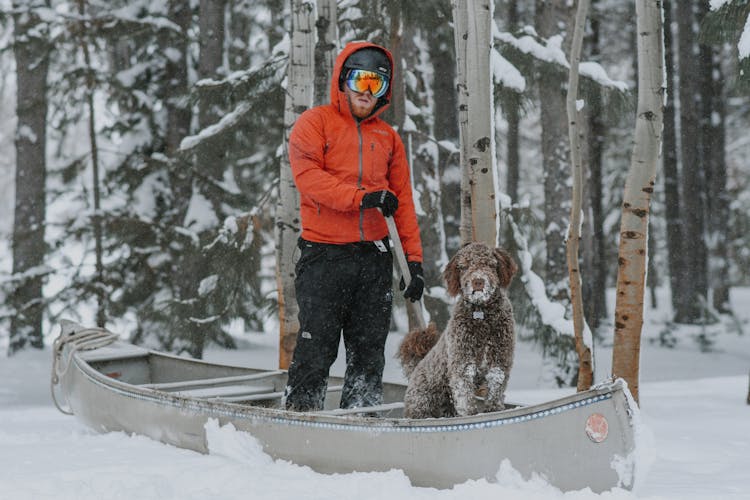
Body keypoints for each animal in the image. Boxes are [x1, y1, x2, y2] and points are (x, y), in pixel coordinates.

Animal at [400, 242, 516, 418]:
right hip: (423, 401)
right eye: (464, 266)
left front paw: (493, 410)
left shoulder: (499, 360)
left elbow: (495, 388)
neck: (482, 315)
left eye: (490, 264)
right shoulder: (462, 363)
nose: (478, 281)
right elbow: (465, 395)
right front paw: (472, 414)